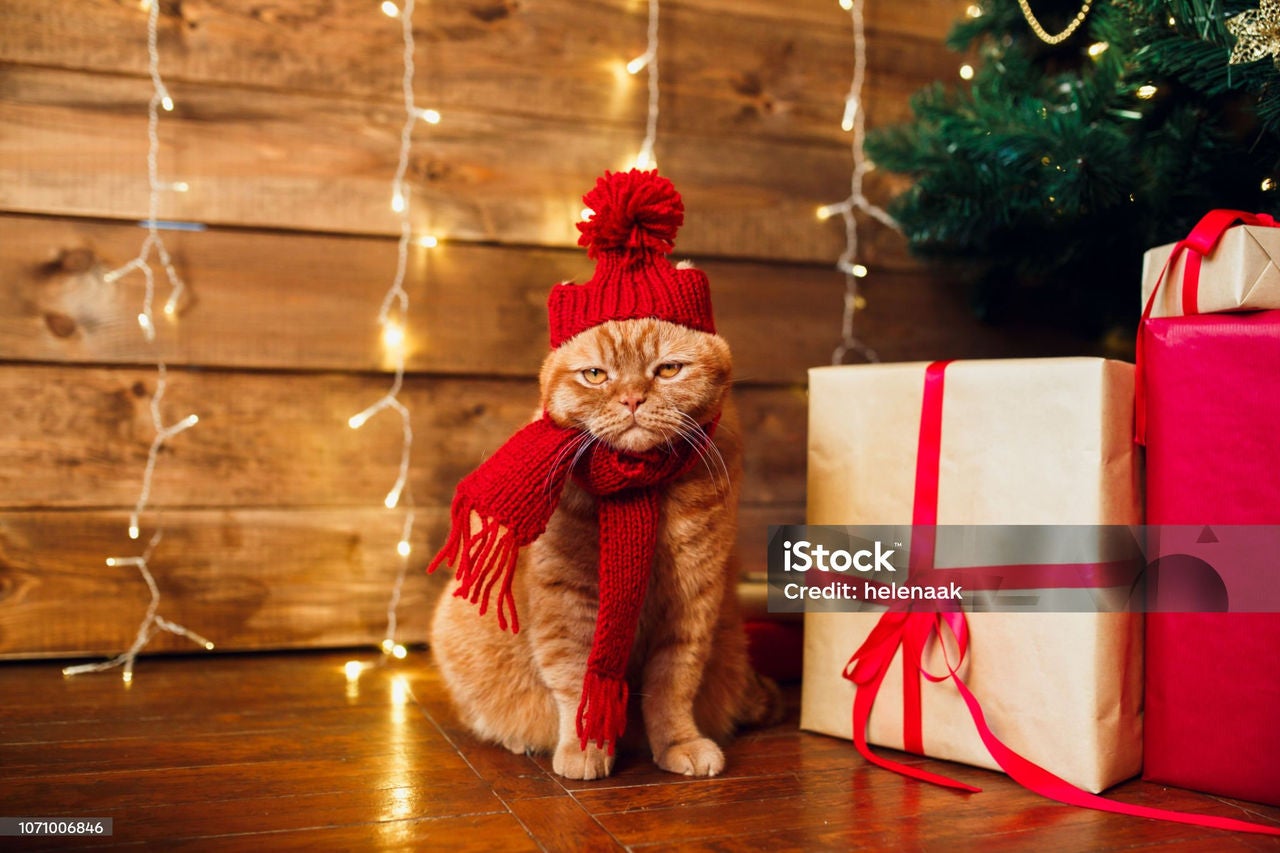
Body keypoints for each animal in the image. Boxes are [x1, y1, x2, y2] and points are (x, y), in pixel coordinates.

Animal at [430, 313, 778, 778]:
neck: (644, 486)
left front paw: (679, 742)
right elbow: (578, 680)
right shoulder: (567, 599)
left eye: (668, 370)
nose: (632, 398)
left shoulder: (693, 598)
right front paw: (585, 747)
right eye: (595, 375)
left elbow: (674, 684)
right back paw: (519, 739)